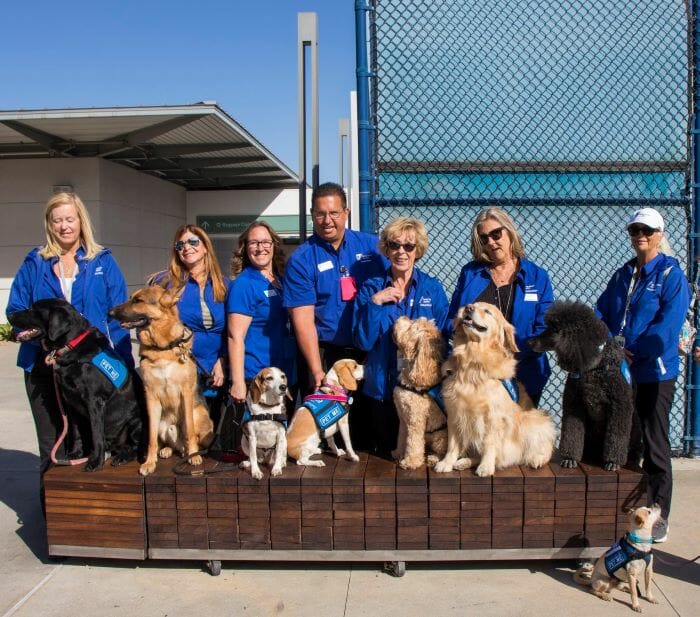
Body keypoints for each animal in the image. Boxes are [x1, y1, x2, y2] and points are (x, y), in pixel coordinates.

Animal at [394, 316, 448, 470]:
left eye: (412, 327)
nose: (403, 316)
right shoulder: (403, 418)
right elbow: (402, 437)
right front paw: (399, 453)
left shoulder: (415, 420)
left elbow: (413, 443)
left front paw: (410, 462)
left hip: (439, 438)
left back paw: (434, 459)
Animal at [434, 304, 556, 476]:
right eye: (472, 304)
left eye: (487, 311)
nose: (468, 308)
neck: (473, 364)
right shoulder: (454, 413)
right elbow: (452, 444)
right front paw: (446, 463)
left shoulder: (494, 417)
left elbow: (489, 444)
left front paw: (486, 466)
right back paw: (464, 462)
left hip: (536, 422)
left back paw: (537, 459)